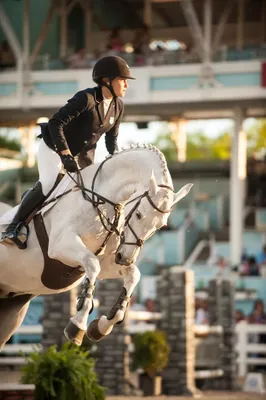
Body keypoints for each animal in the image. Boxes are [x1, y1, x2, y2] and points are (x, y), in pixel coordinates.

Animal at [0, 145, 192, 348]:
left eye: (161, 226)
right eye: (139, 214)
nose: (125, 258)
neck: (101, 199)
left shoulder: (107, 261)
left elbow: (133, 274)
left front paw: (102, 326)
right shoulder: (61, 245)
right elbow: (92, 265)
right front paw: (78, 325)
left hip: (12, 307)